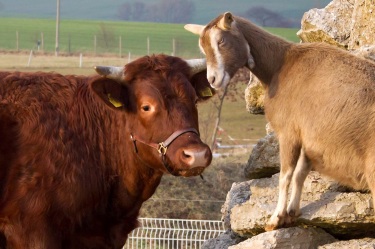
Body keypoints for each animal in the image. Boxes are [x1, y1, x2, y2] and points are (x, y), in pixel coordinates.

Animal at [186, 12, 375, 231]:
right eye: (203, 47)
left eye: (221, 41)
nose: (213, 79)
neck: (280, 65)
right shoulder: (306, 136)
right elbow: (300, 173)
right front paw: (292, 212)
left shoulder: (288, 132)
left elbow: (285, 175)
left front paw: (275, 218)